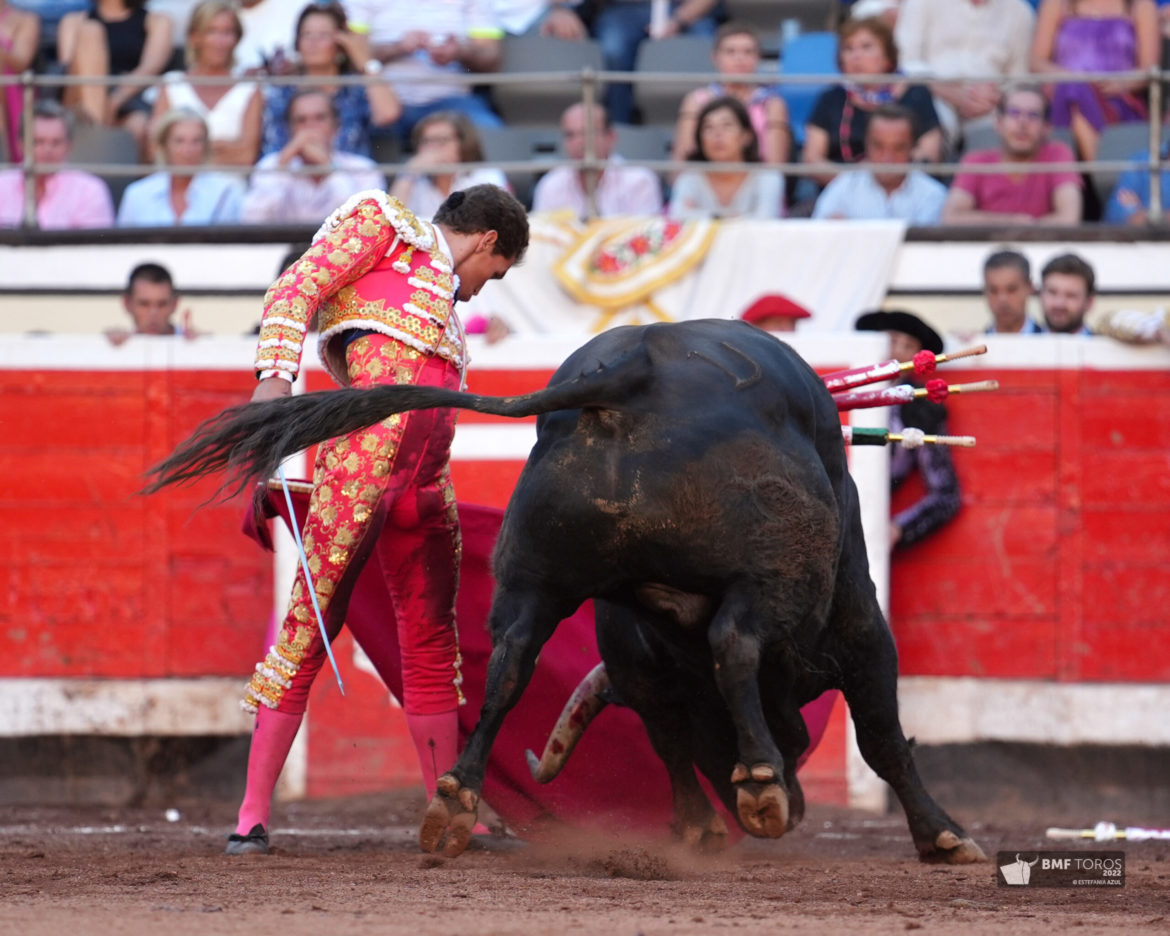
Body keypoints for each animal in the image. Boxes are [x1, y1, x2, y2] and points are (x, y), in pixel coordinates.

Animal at [146, 320, 987, 861]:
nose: (795, 792)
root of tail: (634, 372)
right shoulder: (861, 629)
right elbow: (880, 735)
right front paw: (944, 836)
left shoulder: (637, 663)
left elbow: (666, 736)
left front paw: (697, 827)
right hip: (769, 576)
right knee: (734, 643)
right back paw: (759, 785)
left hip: (533, 579)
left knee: (507, 666)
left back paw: (455, 803)